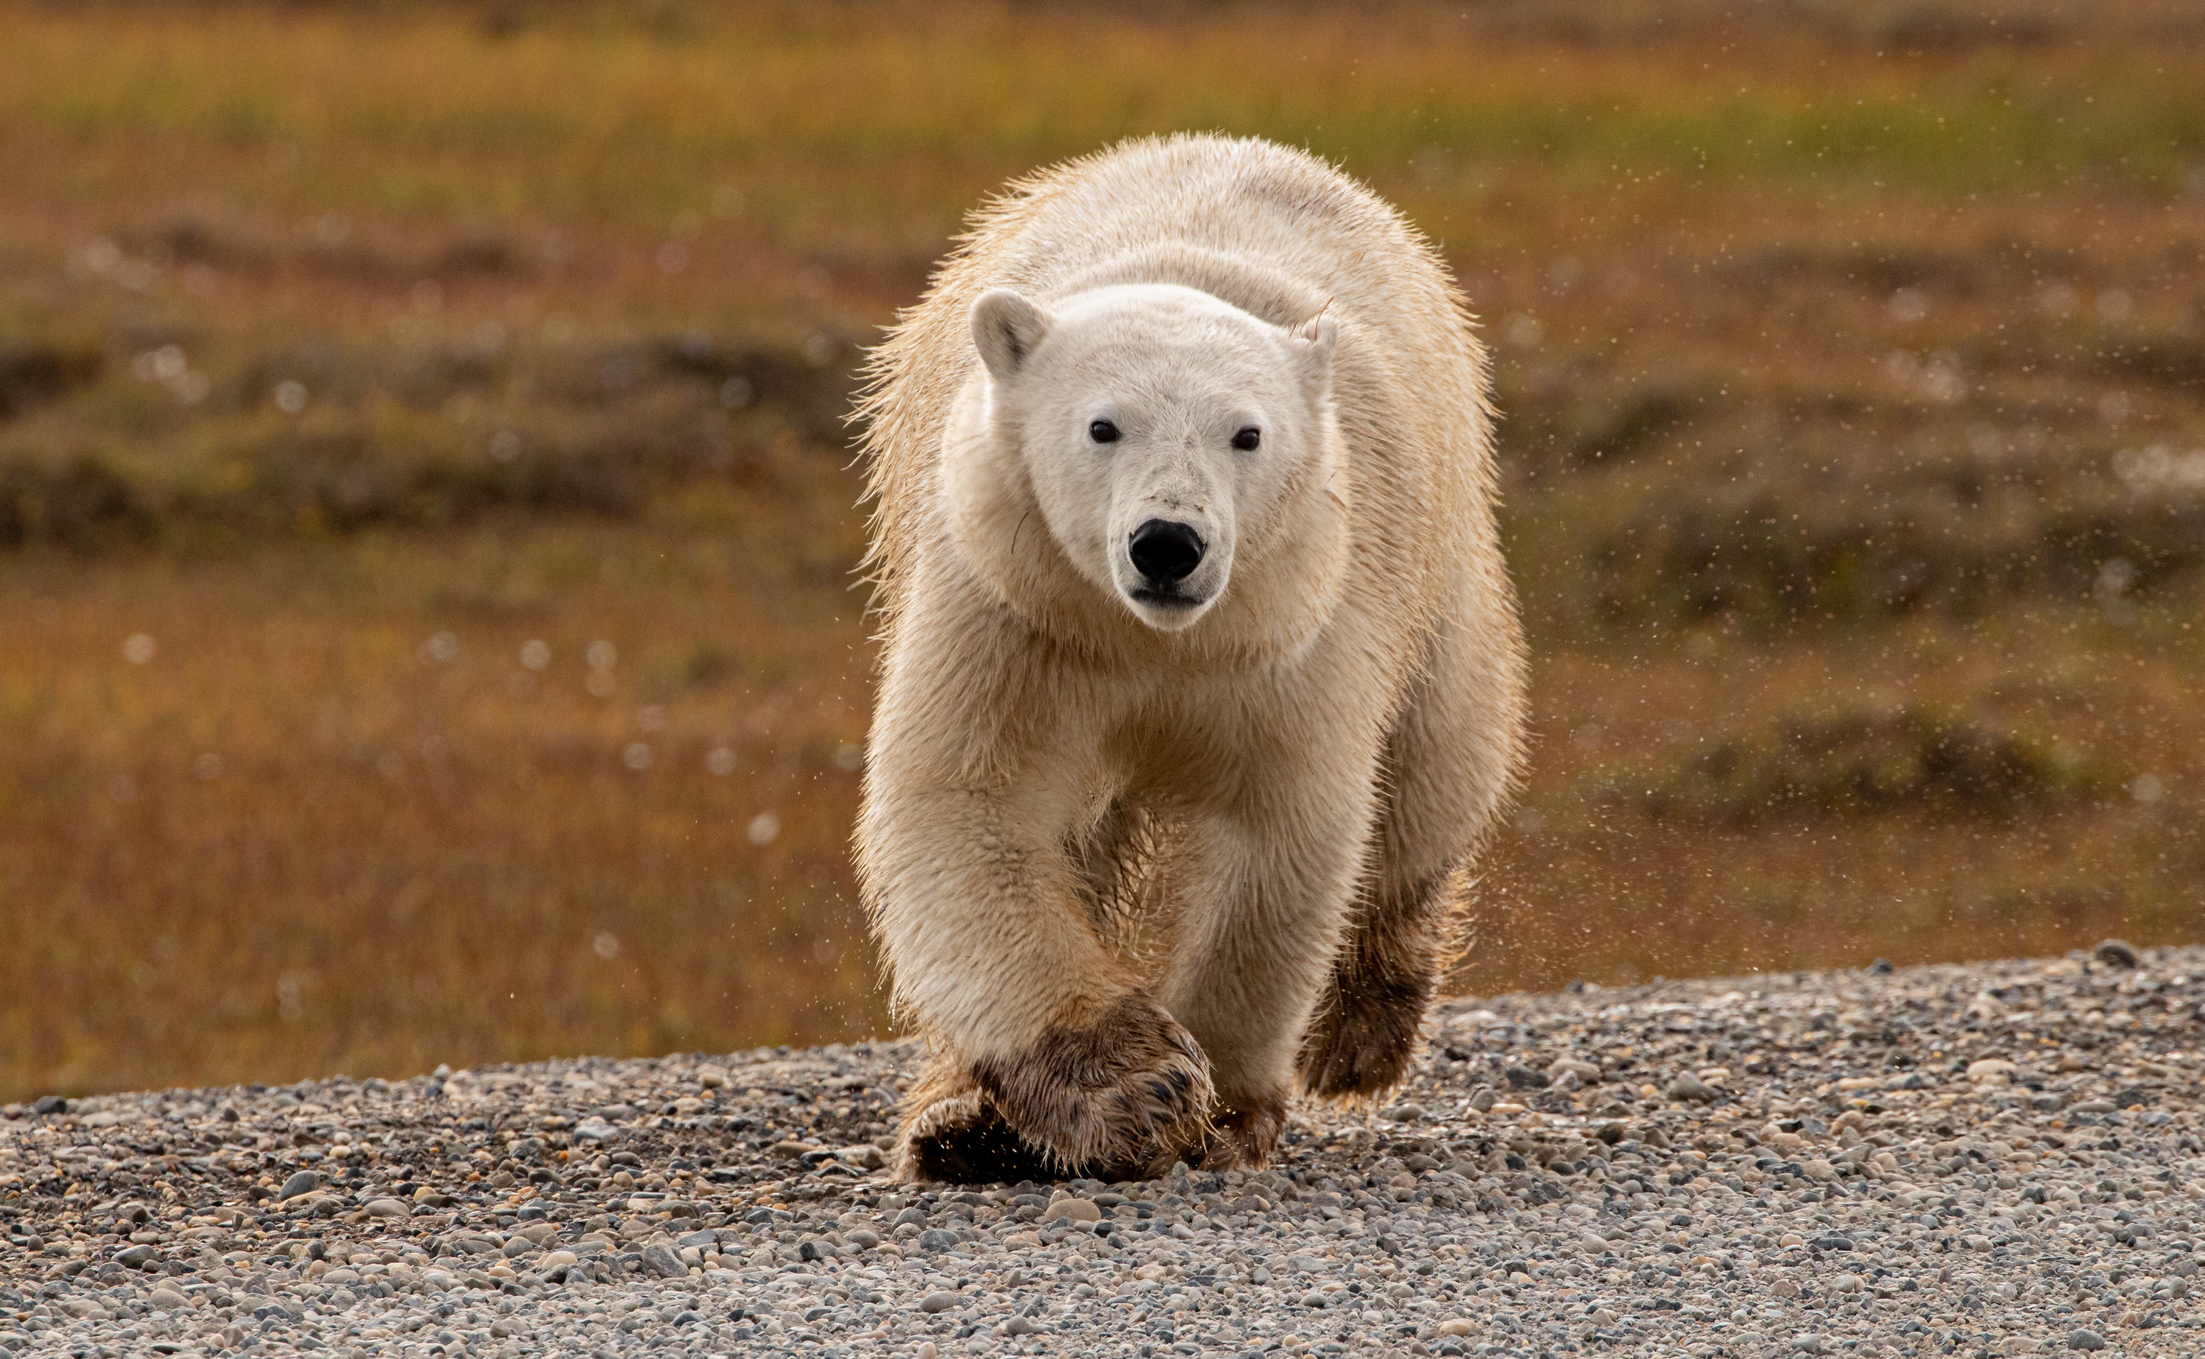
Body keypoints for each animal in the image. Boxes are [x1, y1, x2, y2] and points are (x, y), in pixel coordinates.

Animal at [854, 133, 1527, 1184]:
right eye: (1102, 424)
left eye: (1246, 433)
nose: (1167, 543)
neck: (1155, 643)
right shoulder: (1014, 609)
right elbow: (972, 803)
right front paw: (1131, 1088)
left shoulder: (1291, 632)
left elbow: (1279, 828)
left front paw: (1224, 1112)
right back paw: (961, 1126)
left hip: (1437, 560)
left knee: (1436, 769)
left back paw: (1360, 1032)